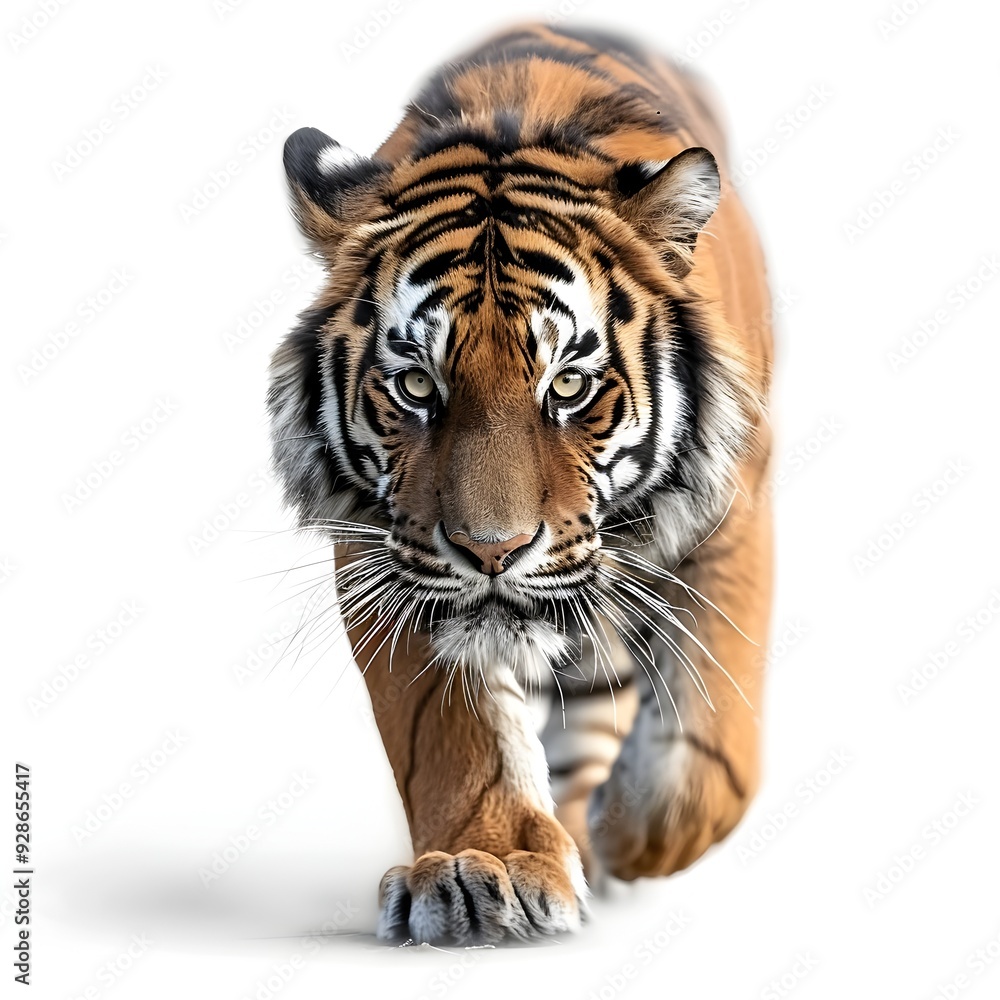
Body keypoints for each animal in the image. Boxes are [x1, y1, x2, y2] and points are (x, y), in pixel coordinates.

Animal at [268, 22, 773, 945]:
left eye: (567, 385)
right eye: (417, 385)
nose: (492, 552)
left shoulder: (733, 512)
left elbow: (713, 727)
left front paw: (635, 834)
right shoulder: (385, 555)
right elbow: (449, 731)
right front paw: (486, 865)